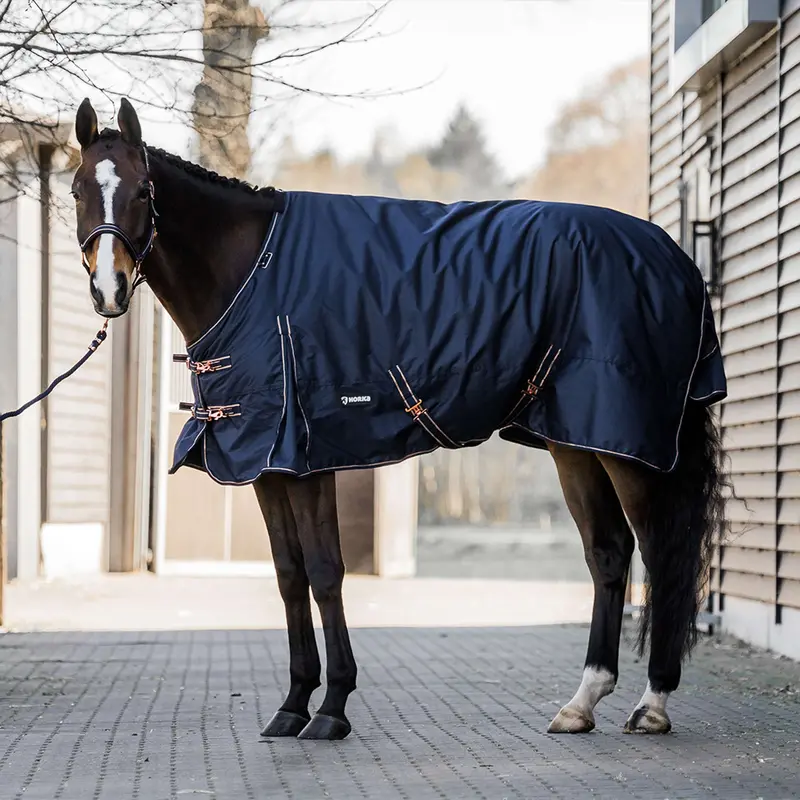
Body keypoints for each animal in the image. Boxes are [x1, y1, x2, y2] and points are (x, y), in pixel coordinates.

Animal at [70, 97, 727, 741]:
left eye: (142, 192)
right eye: (78, 190)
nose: (110, 289)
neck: (255, 269)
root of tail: (677, 262)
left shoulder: (307, 461)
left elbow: (325, 572)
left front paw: (332, 707)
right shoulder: (266, 466)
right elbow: (288, 576)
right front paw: (293, 704)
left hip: (629, 448)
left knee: (661, 554)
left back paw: (652, 705)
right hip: (575, 440)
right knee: (609, 553)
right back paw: (581, 703)